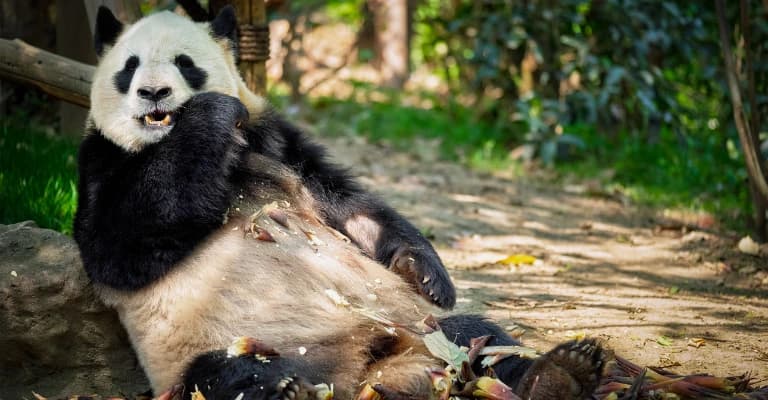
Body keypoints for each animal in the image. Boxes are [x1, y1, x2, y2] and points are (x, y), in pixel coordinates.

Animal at [73, 6, 606, 400]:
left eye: (185, 62)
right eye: (129, 67)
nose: (154, 93)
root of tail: (365, 372)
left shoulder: (278, 143)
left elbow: (351, 207)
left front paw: (426, 272)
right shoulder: (102, 159)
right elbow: (120, 244)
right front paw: (209, 114)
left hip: (421, 329)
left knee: (480, 337)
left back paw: (562, 372)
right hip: (216, 348)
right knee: (224, 372)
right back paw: (284, 388)